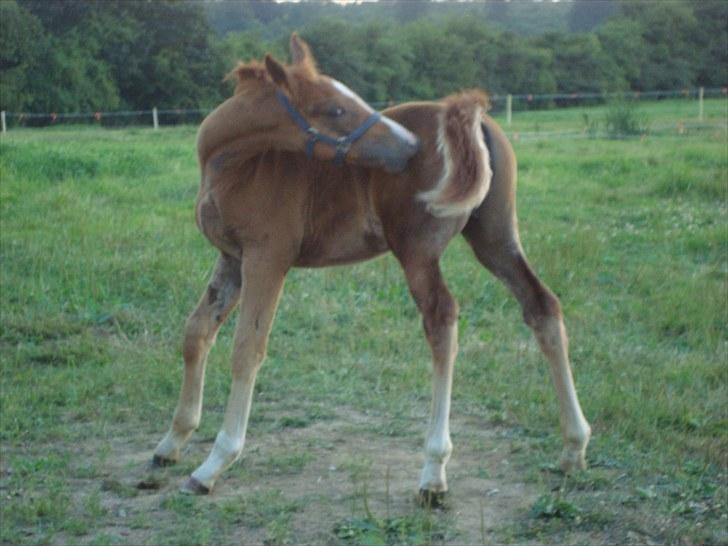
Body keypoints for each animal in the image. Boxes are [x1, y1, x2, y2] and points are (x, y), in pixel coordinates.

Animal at [154, 34, 592, 500]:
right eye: (335, 109)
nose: (409, 146)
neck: (231, 163)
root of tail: (471, 117)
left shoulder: (266, 258)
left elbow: (246, 349)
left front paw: (214, 463)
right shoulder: (232, 258)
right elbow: (197, 333)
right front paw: (172, 441)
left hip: (417, 250)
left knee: (442, 319)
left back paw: (433, 470)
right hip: (495, 239)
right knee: (541, 306)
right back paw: (573, 447)